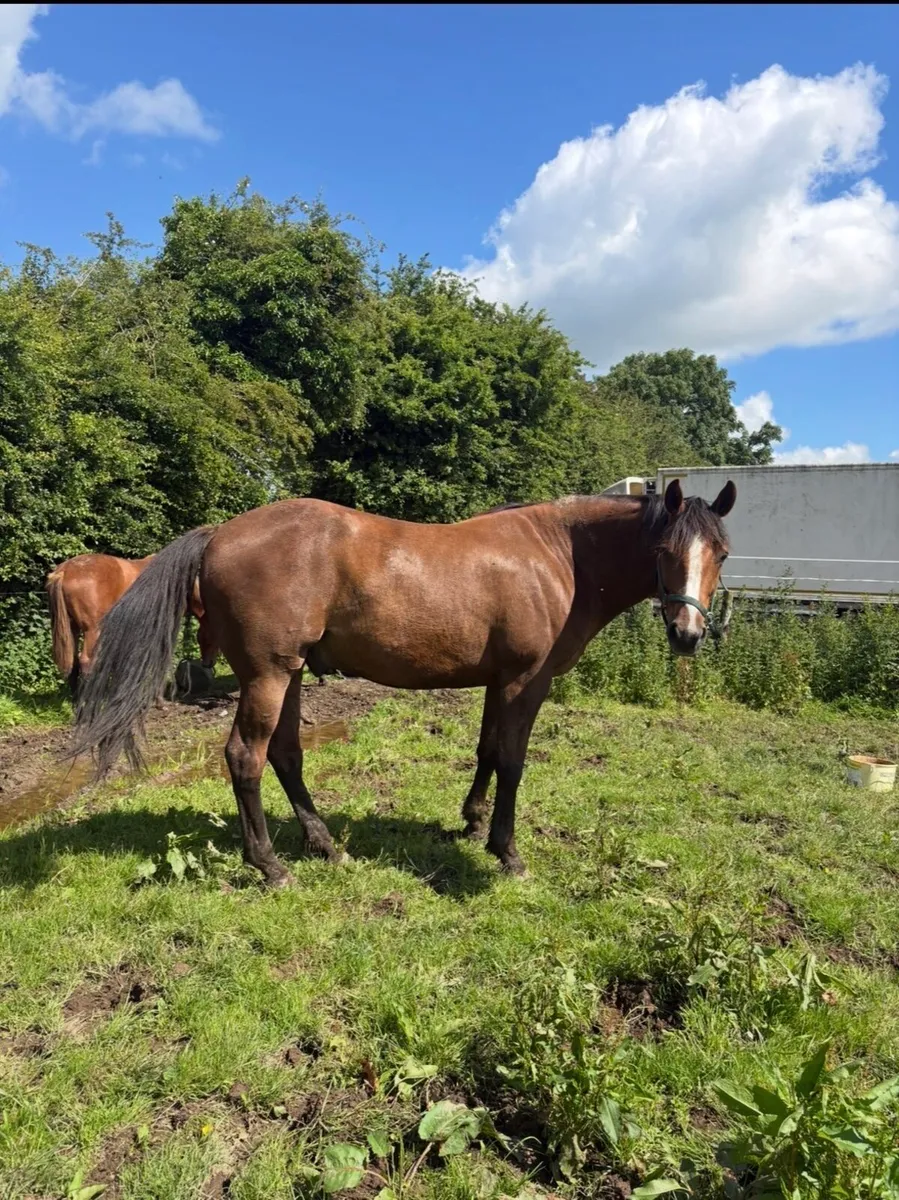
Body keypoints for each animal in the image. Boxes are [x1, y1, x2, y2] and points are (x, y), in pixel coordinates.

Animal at [46, 553, 217, 697]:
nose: (209, 665)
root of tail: (64, 570)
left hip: (72, 629)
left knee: (74, 663)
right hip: (92, 631)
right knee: (86, 662)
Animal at [69, 478, 736, 886]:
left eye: (721, 554)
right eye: (665, 549)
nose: (688, 635)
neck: (558, 555)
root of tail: (219, 534)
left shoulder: (497, 682)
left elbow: (487, 750)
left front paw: (471, 820)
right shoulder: (526, 681)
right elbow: (513, 759)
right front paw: (506, 850)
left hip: (289, 675)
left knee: (285, 754)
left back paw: (323, 843)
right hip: (267, 675)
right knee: (245, 757)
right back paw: (270, 865)